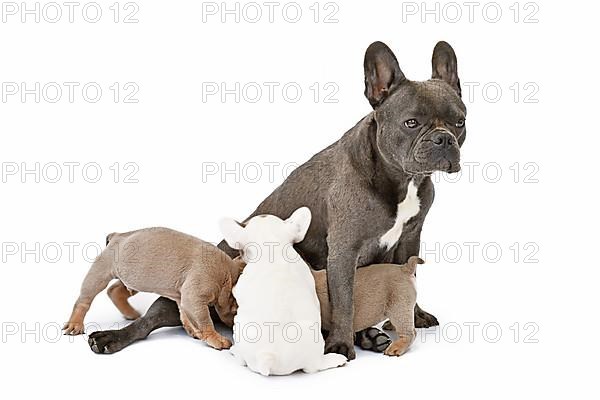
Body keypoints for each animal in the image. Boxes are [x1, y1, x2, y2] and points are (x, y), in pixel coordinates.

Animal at [63, 228, 244, 350]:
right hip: (100, 274)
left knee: (115, 290)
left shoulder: (183, 298)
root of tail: (117, 235)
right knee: (84, 300)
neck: (227, 275)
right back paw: (75, 324)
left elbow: (186, 316)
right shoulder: (195, 297)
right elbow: (204, 321)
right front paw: (216, 338)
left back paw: (130, 313)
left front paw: (193, 330)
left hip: (134, 278)